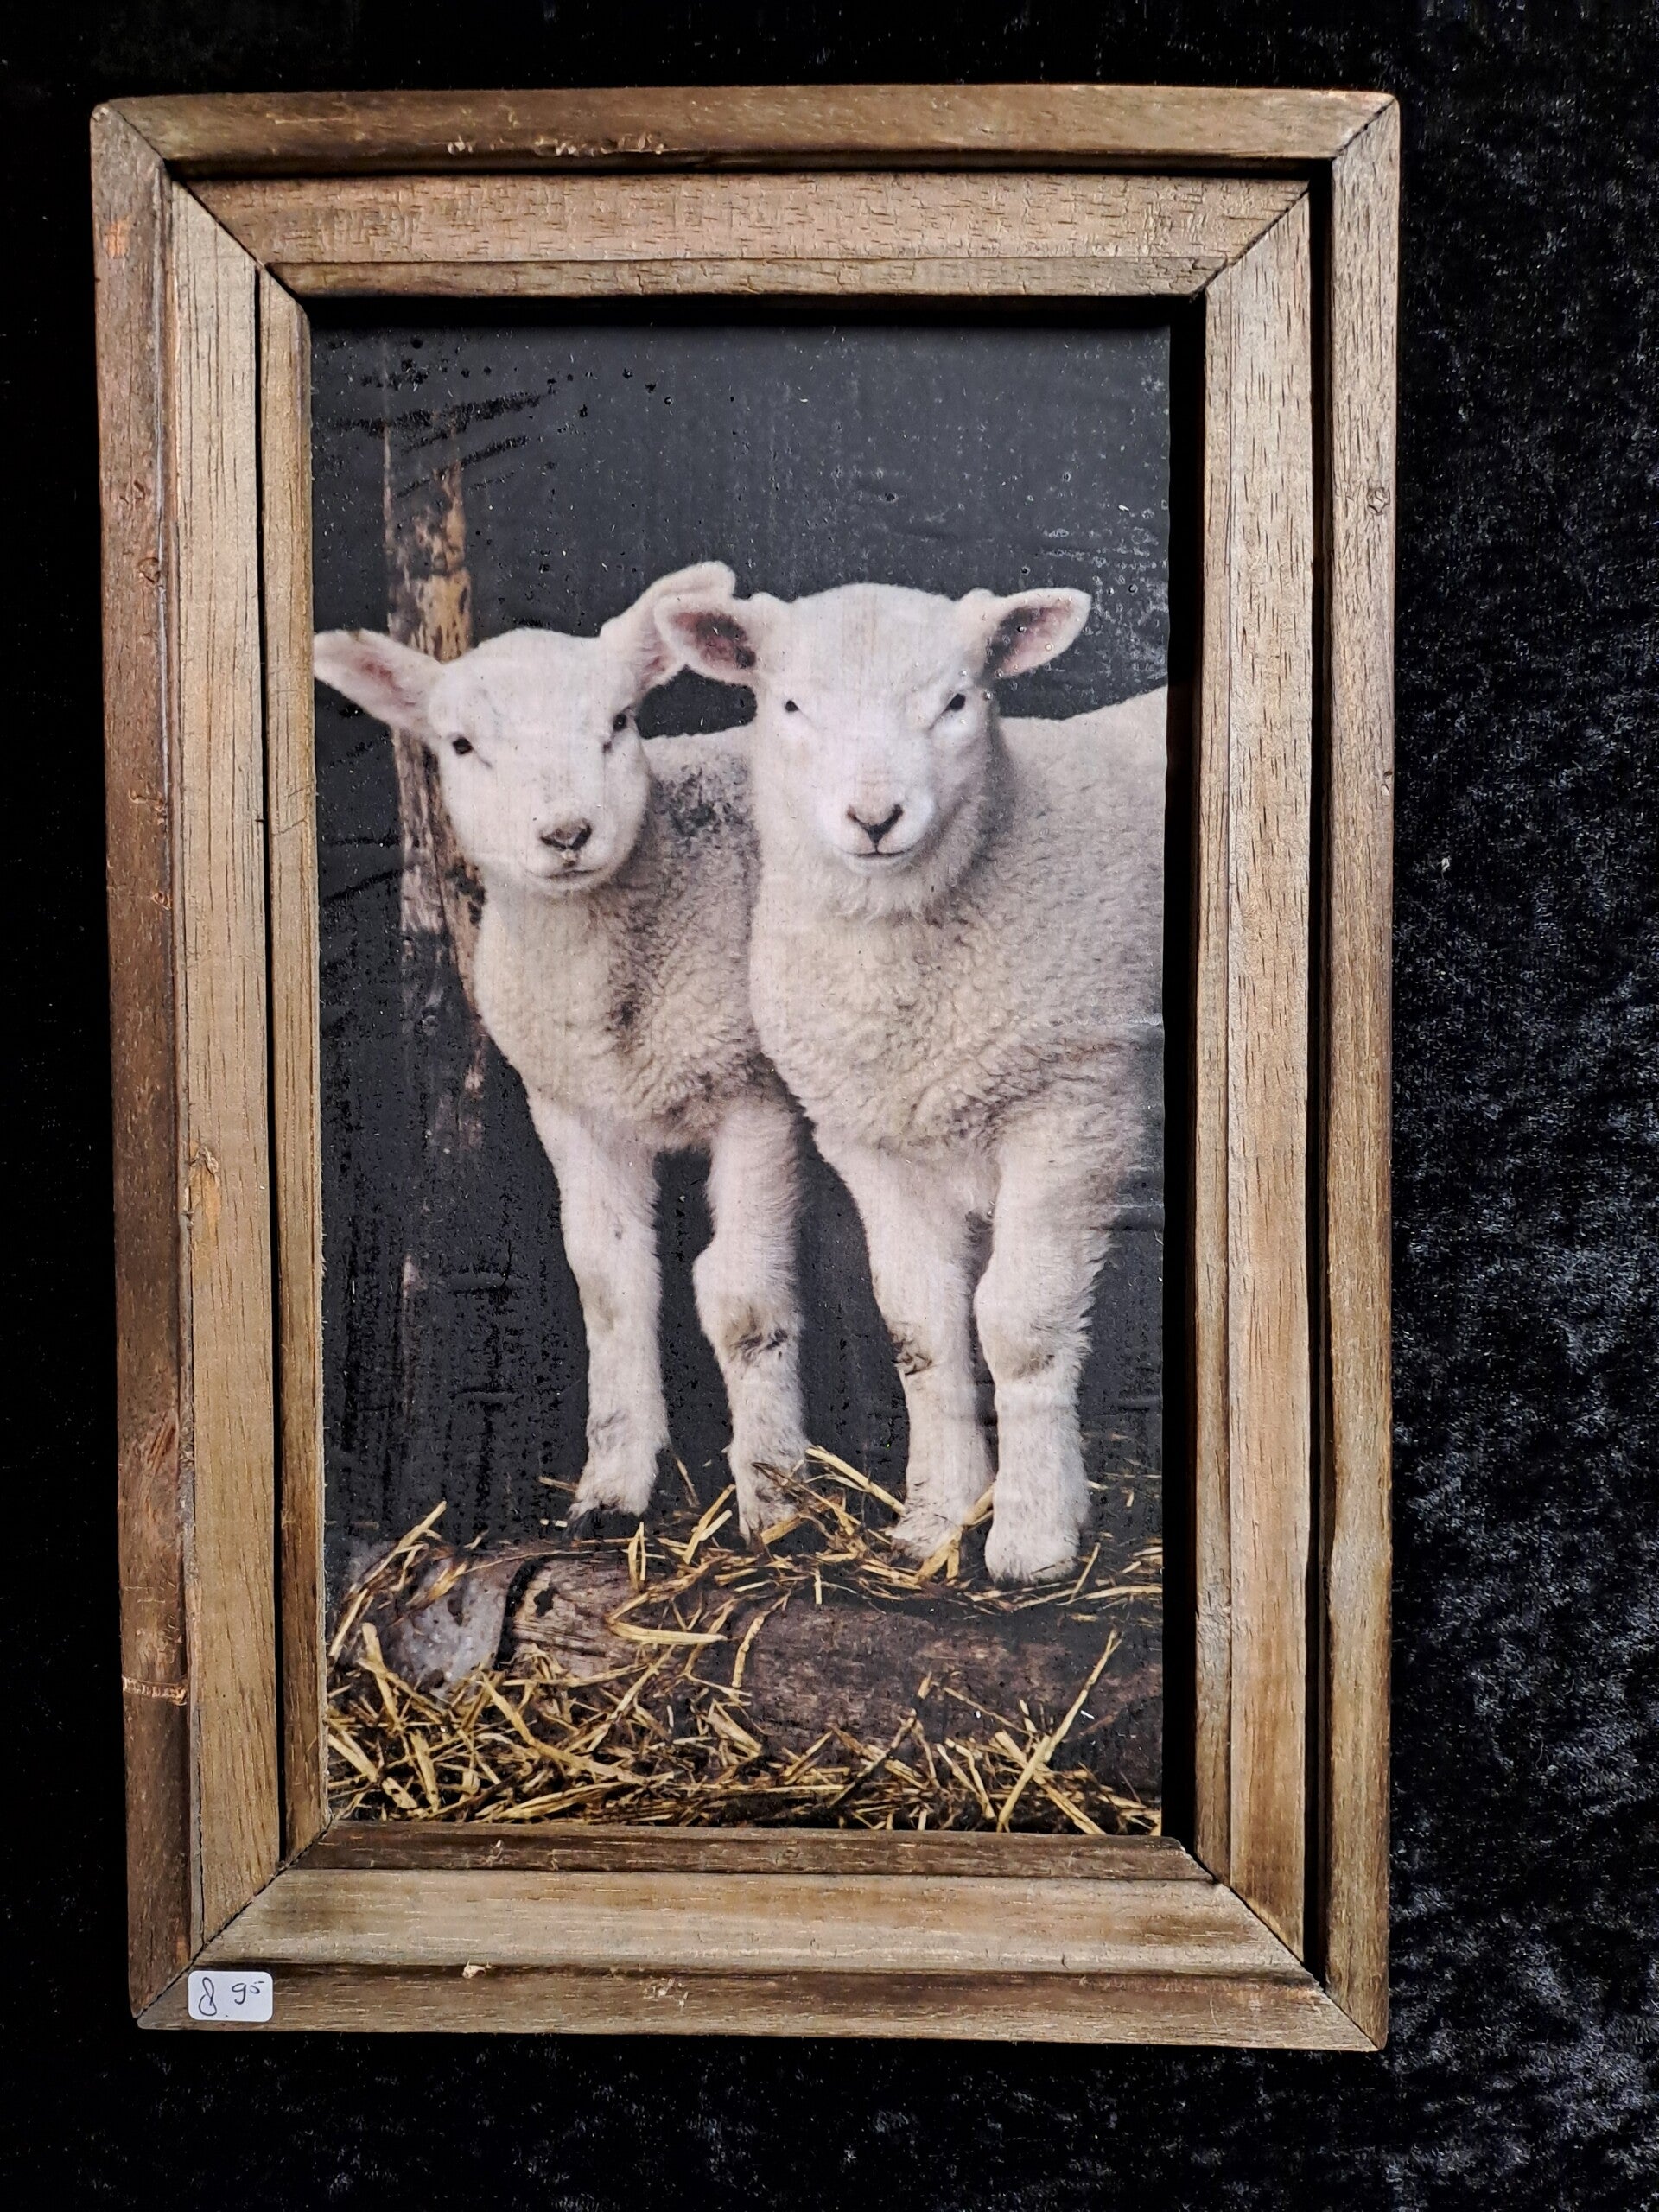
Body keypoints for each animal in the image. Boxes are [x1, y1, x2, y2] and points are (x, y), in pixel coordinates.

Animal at [313, 563, 805, 1542]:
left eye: (620, 722)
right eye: (461, 744)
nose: (568, 835)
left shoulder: (754, 1096)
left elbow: (742, 1299)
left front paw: (776, 1501)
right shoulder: (575, 1108)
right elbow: (611, 1286)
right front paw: (611, 1486)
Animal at [656, 579, 1165, 1584]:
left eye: (957, 702)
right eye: (789, 706)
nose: (875, 817)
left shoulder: (1075, 1107)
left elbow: (1019, 1323)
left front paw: (1033, 1537)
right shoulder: (873, 1138)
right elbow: (920, 1328)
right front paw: (935, 1520)